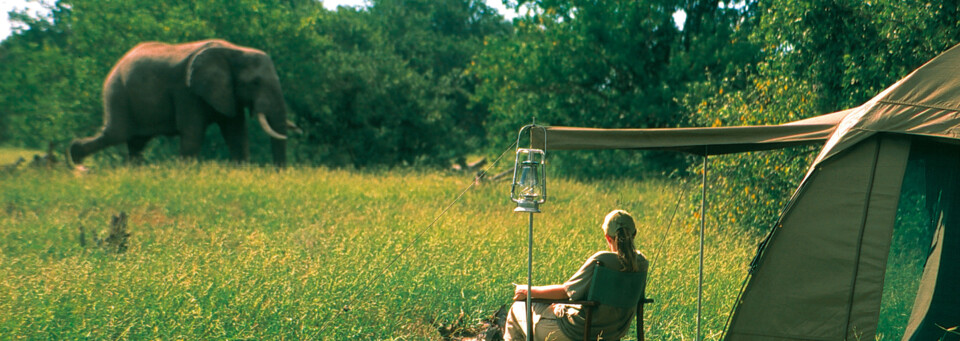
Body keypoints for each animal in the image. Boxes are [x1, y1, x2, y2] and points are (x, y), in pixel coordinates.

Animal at [68, 39, 296, 167]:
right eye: (255, 82)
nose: (278, 173)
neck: (233, 51)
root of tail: (117, 64)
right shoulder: (186, 91)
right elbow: (193, 134)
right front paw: (187, 175)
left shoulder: (228, 94)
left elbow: (237, 135)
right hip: (117, 92)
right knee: (117, 134)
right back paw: (77, 162)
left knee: (136, 142)